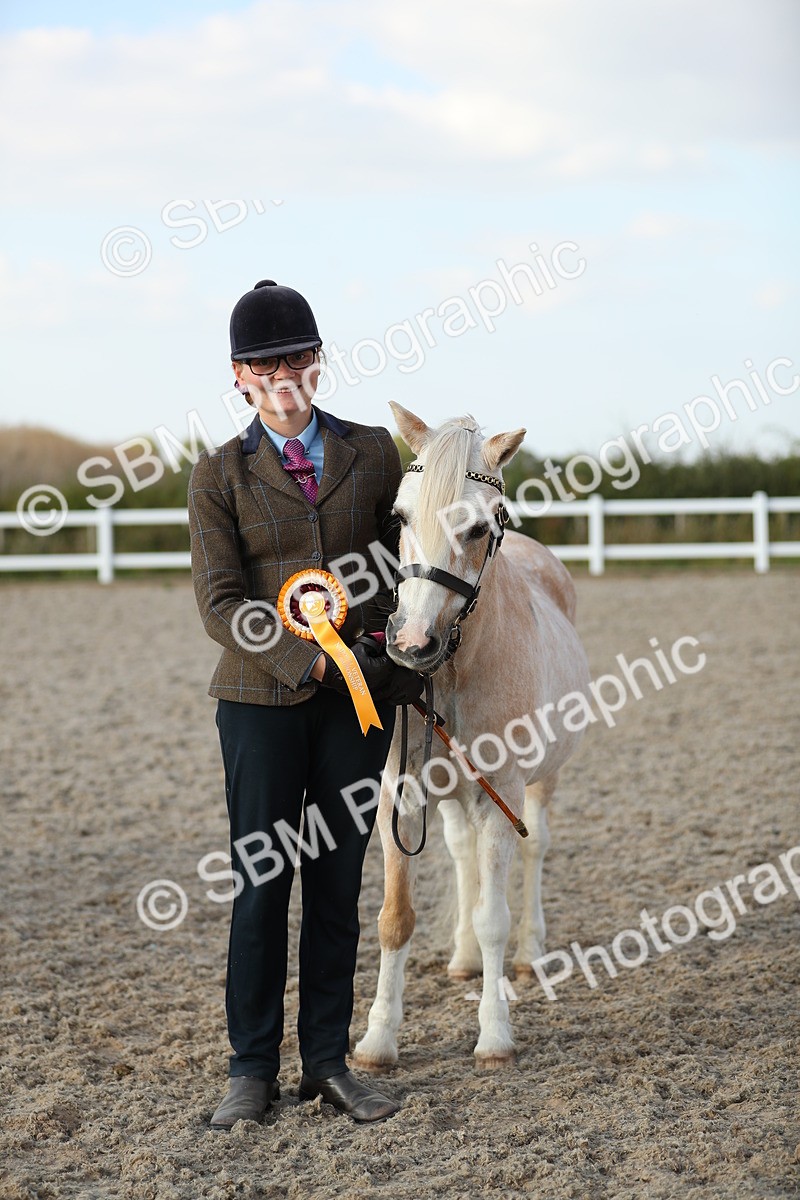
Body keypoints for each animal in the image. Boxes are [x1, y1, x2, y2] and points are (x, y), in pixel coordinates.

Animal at [353, 403, 591, 1069]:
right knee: (461, 855)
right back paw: (460, 960)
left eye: (480, 528)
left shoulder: (500, 794)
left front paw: (495, 1036)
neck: (456, 669)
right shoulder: (402, 796)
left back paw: (531, 956)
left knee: (535, 849)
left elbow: (494, 919)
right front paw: (378, 1040)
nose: (411, 645)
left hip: (539, 781)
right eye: (400, 516)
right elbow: (394, 918)